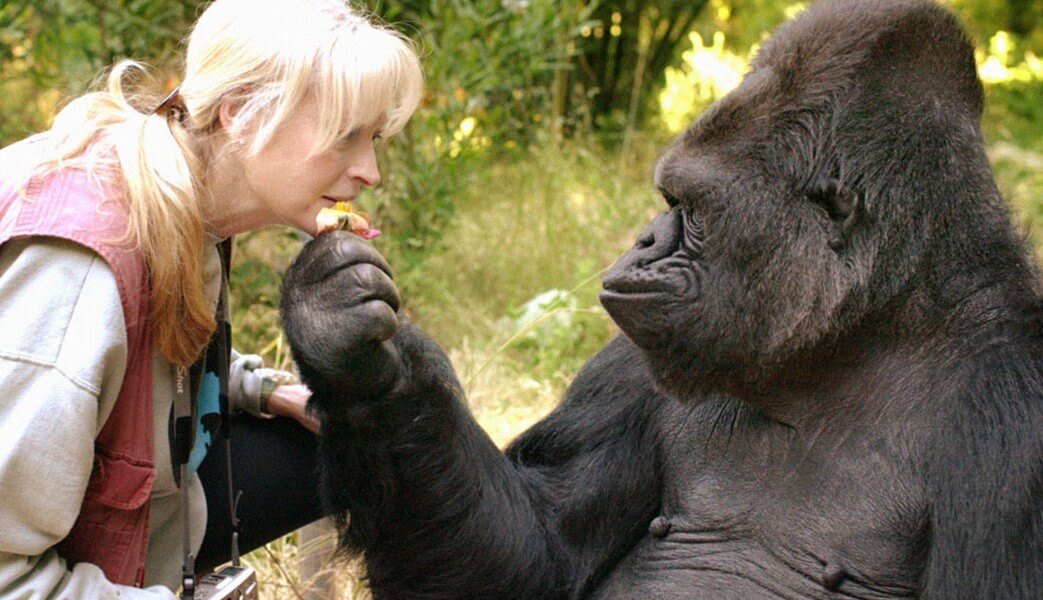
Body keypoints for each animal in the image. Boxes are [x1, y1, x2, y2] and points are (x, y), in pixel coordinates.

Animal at [279, 2, 1043, 596]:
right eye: (667, 200)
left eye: (690, 208)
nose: (643, 240)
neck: (860, 334)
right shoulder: (633, 359)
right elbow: (534, 557)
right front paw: (352, 353)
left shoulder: (1014, 420)